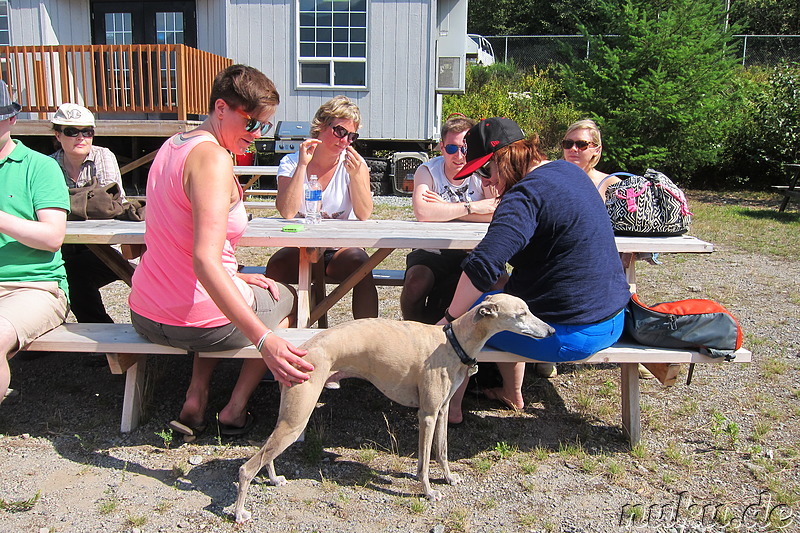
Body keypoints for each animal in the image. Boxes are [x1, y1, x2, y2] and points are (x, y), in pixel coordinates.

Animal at [234, 294, 552, 520]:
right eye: (522, 313)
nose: (550, 331)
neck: (453, 342)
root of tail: (301, 349)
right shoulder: (426, 415)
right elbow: (425, 460)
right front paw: (429, 492)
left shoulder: (442, 411)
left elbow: (441, 452)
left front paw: (448, 478)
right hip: (297, 418)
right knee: (247, 467)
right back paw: (239, 512)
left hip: (290, 416)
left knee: (267, 453)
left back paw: (275, 479)